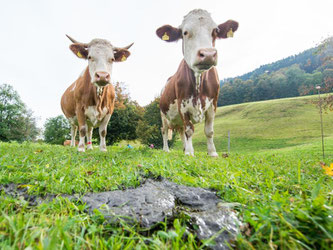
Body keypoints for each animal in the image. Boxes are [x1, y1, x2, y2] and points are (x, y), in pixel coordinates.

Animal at [156, 9, 239, 156]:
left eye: (216, 30)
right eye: (185, 32)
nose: (208, 54)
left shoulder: (213, 103)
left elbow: (209, 131)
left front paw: (212, 152)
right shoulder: (183, 105)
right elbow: (189, 130)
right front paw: (190, 153)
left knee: (181, 131)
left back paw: (184, 148)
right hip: (163, 114)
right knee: (165, 130)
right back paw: (166, 149)